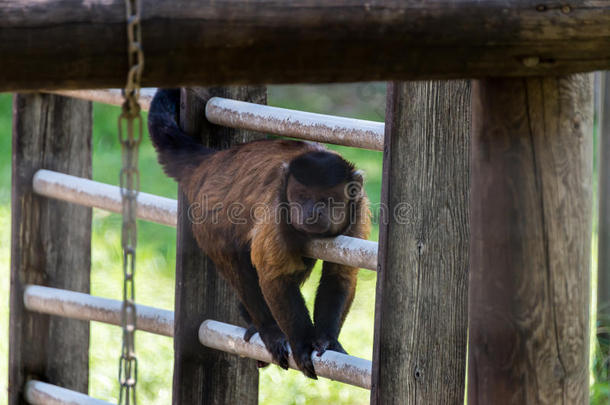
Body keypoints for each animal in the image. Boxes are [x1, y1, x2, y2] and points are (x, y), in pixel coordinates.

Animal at [147, 89, 370, 378]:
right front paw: (302, 344)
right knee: (240, 264)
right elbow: (274, 276)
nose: (310, 212)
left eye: (327, 200)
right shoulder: (277, 208)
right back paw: (267, 328)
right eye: (301, 197)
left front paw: (327, 340)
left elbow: (340, 275)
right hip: (209, 219)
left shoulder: (359, 210)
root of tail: (212, 161)